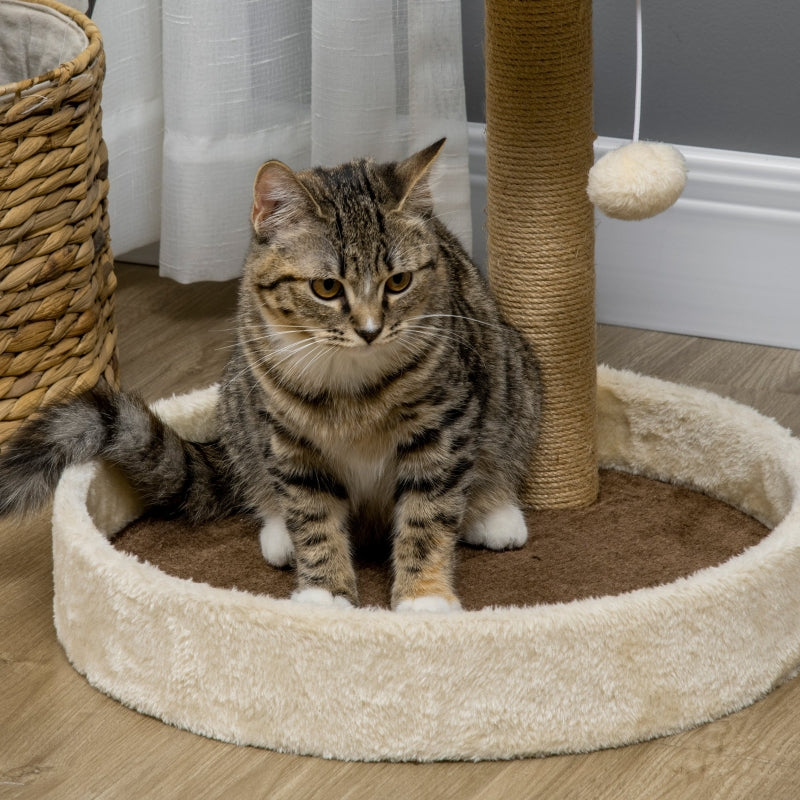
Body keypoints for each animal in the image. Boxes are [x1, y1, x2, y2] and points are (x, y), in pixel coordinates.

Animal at [0, 139, 540, 612]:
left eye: (399, 281)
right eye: (326, 287)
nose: (370, 330)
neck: (354, 381)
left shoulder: (444, 422)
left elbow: (428, 513)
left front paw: (424, 598)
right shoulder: (288, 434)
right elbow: (312, 511)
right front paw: (324, 594)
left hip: (514, 382)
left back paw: (495, 513)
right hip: (241, 405)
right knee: (265, 485)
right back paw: (280, 532)